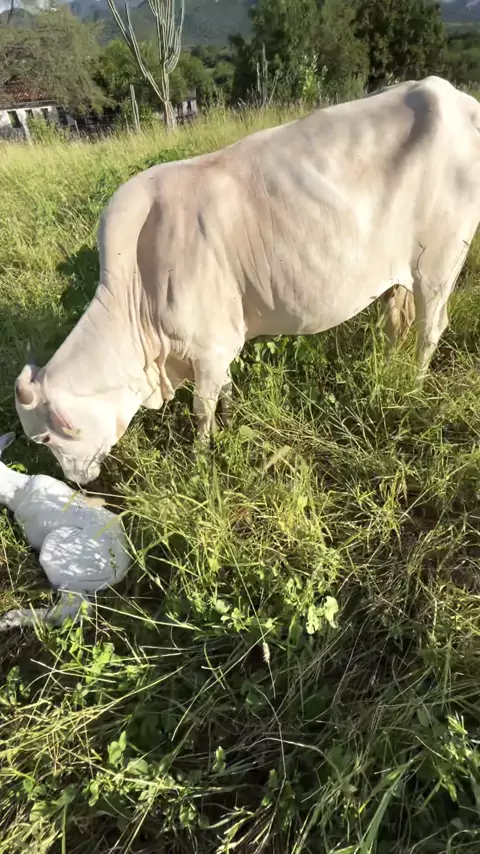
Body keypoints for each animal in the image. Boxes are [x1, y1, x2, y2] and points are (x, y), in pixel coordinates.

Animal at [15, 76, 480, 484]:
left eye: (45, 437)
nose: (78, 481)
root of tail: (454, 97)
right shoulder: (221, 346)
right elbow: (225, 391)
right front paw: (229, 422)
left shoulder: (208, 348)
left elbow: (202, 410)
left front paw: (201, 458)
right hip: (396, 276)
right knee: (395, 323)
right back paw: (386, 370)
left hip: (438, 266)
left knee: (430, 329)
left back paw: (414, 386)